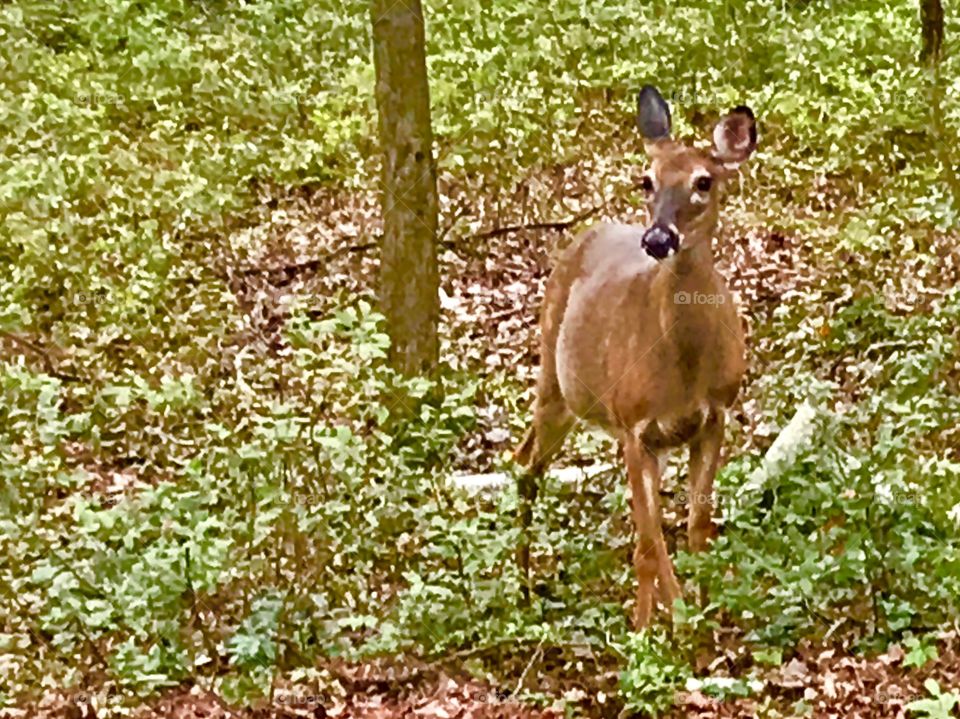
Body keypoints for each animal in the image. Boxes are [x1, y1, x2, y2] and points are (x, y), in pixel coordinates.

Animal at [514, 85, 755, 629]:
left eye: (704, 181)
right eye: (646, 180)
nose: (658, 238)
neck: (684, 368)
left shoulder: (714, 416)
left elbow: (695, 525)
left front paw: (701, 615)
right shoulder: (633, 424)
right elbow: (650, 540)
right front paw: (658, 627)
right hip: (557, 382)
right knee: (526, 465)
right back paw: (524, 587)